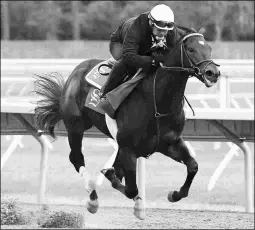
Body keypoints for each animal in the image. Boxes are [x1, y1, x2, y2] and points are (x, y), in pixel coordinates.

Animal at [33, 27, 220, 219]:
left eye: (209, 49)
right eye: (191, 49)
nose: (212, 73)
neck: (156, 101)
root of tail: (76, 71)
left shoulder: (169, 143)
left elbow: (193, 166)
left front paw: (174, 194)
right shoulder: (129, 149)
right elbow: (130, 188)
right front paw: (135, 202)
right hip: (75, 125)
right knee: (76, 157)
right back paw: (92, 199)